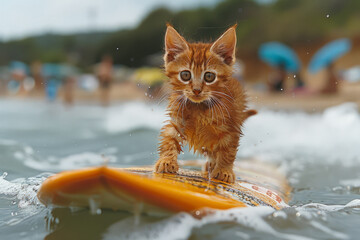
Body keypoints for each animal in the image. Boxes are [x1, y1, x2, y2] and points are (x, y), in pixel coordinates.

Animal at [155, 24, 256, 183]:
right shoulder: (177, 119)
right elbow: (169, 138)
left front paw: (224, 170)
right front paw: (166, 160)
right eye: (185, 75)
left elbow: (228, 150)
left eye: (209, 76)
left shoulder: (231, 128)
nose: (196, 90)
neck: (199, 108)